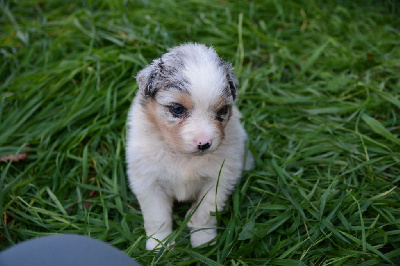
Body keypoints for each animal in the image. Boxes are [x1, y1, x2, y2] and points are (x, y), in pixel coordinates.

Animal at [126, 43, 252, 249]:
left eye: (222, 110)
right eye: (177, 109)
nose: (204, 143)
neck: (183, 156)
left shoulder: (219, 179)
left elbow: (205, 212)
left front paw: (203, 240)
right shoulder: (148, 181)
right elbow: (157, 217)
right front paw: (159, 245)